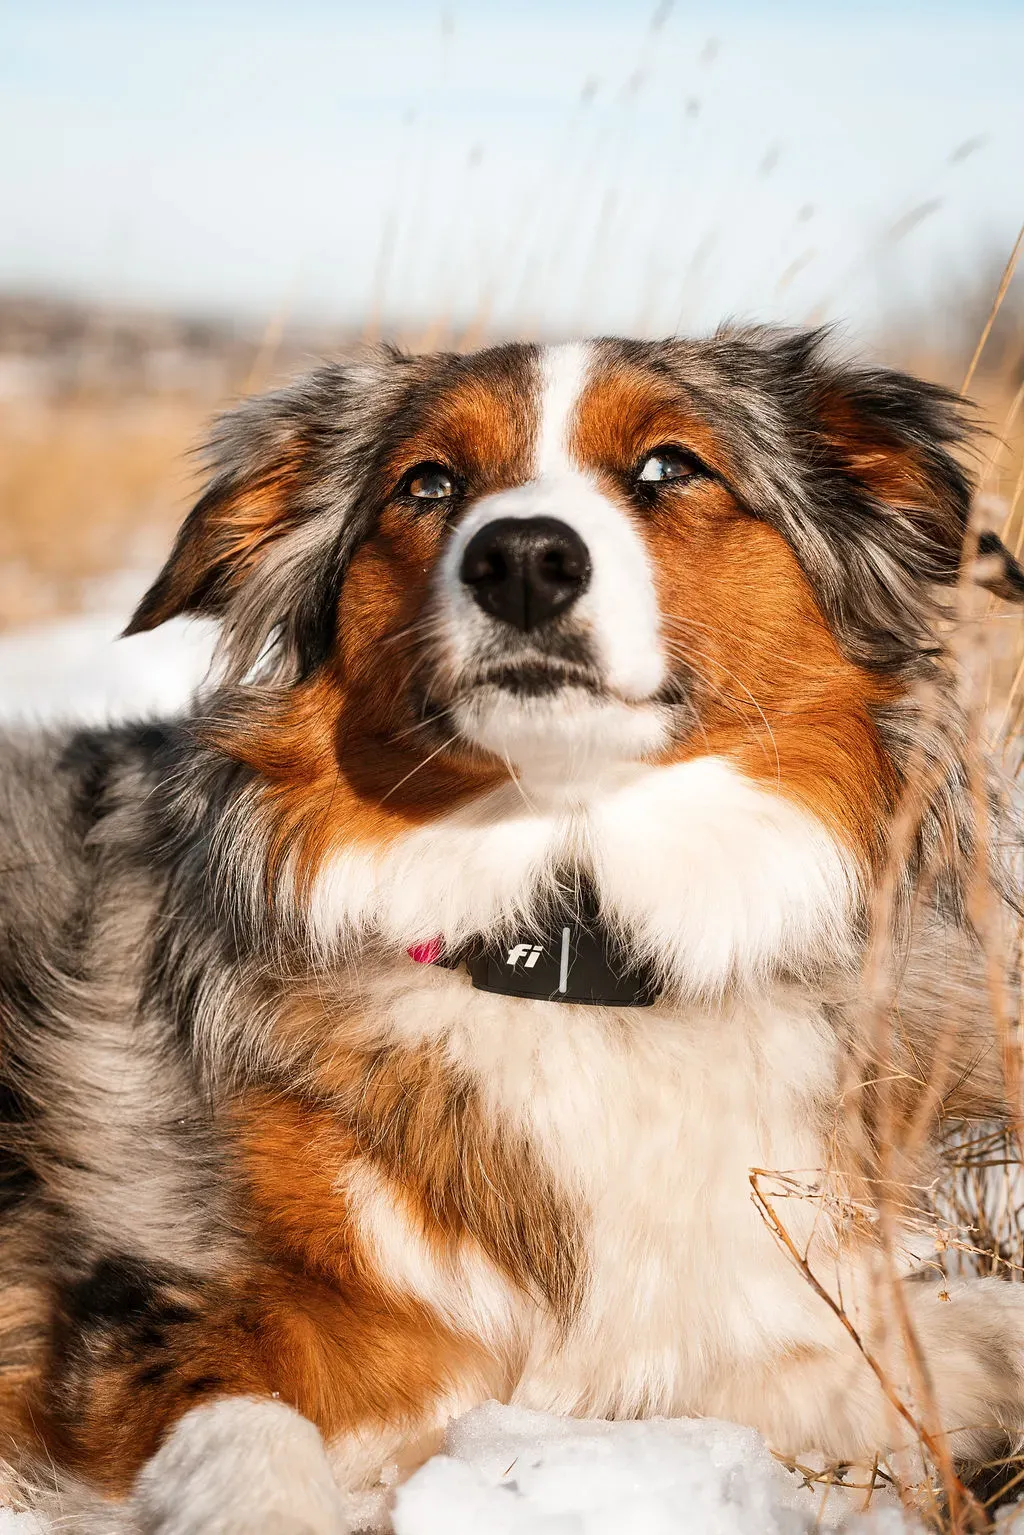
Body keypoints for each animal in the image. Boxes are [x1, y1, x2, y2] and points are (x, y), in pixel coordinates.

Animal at [2, 330, 1024, 1528]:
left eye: (670, 466)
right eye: (428, 484)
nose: (524, 557)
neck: (566, 939)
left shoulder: (675, 1333)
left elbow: (933, 1339)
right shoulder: (136, 1310)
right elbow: (248, 1432)